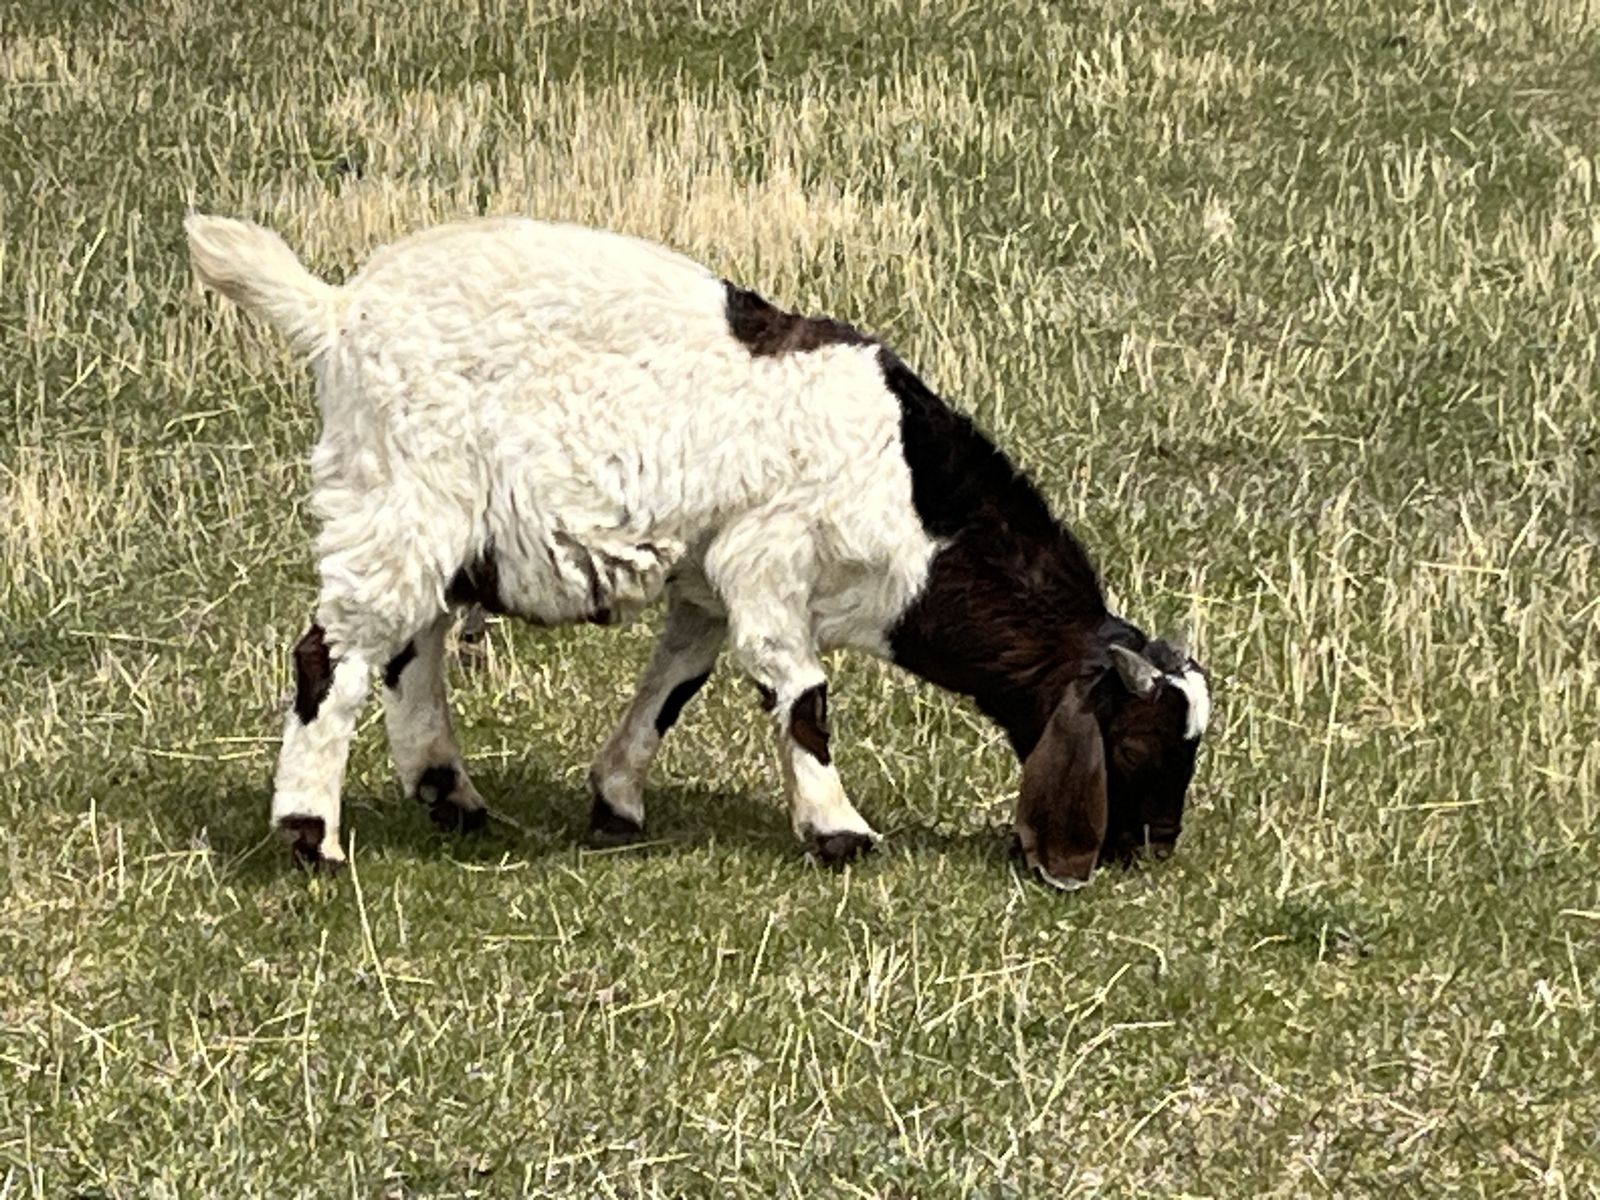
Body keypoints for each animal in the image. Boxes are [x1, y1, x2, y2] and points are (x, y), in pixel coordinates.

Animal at [184, 213, 1211, 889]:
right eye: (1141, 739)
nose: (1157, 845)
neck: (915, 501)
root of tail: (335, 312)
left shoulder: (709, 587)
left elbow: (671, 688)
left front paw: (616, 804)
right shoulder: (768, 562)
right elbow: (803, 696)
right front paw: (840, 833)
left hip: (436, 523)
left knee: (411, 646)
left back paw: (451, 796)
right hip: (400, 499)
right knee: (331, 654)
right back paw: (312, 836)